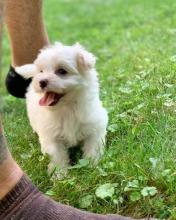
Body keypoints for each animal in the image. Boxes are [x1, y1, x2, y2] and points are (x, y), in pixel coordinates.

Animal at [15, 42, 108, 174]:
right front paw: (60, 174)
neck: (67, 108)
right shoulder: (51, 136)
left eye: (62, 71)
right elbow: (57, 155)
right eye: (41, 71)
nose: (41, 81)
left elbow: (93, 146)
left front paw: (92, 165)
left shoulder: (95, 126)